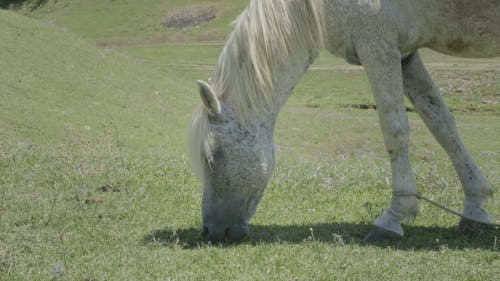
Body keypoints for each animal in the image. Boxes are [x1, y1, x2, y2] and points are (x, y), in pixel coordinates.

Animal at [189, 0, 498, 241]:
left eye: (213, 158)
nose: (210, 231)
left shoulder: (379, 47)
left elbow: (395, 130)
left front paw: (393, 217)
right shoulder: (406, 56)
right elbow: (441, 124)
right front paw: (475, 208)